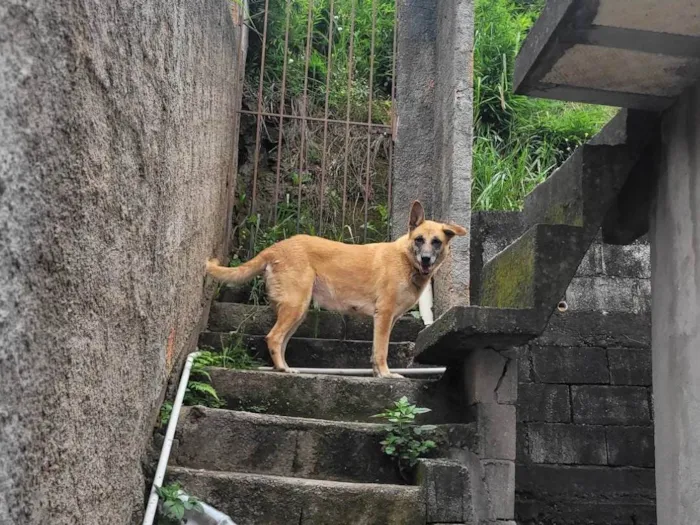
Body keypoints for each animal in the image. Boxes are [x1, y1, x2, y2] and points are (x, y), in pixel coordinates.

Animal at [205, 201, 468, 376]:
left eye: (437, 242)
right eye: (419, 240)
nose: (426, 259)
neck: (406, 260)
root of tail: (276, 247)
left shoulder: (388, 319)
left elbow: (375, 351)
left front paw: (377, 374)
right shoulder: (383, 316)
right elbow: (381, 351)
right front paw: (386, 375)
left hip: (297, 311)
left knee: (280, 340)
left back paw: (284, 367)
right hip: (296, 306)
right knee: (273, 337)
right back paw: (283, 369)